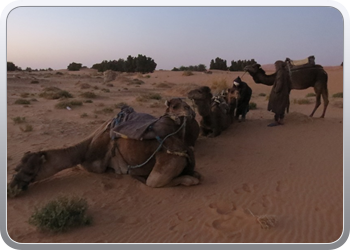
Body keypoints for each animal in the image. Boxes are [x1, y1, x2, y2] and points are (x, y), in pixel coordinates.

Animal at [8, 98, 201, 197]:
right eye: (16, 167)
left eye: (30, 171)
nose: (11, 187)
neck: (84, 149)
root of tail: (186, 150)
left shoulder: (94, 164)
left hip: (169, 161)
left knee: (156, 181)